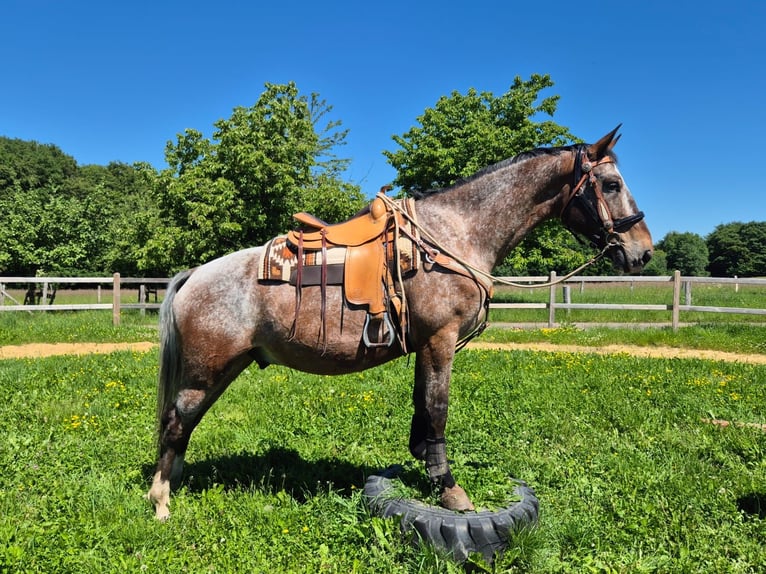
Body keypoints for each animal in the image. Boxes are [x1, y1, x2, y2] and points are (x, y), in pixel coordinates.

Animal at [147, 126, 653, 520]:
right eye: (610, 184)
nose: (644, 252)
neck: (455, 235)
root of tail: (196, 275)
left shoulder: (426, 343)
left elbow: (421, 405)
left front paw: (424, 464)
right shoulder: (441, 339)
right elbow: (437, 406)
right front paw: (450, 489)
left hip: (221, 369)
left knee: (183, 424)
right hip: (206, 369)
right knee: (175, 422)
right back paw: (161, 501)